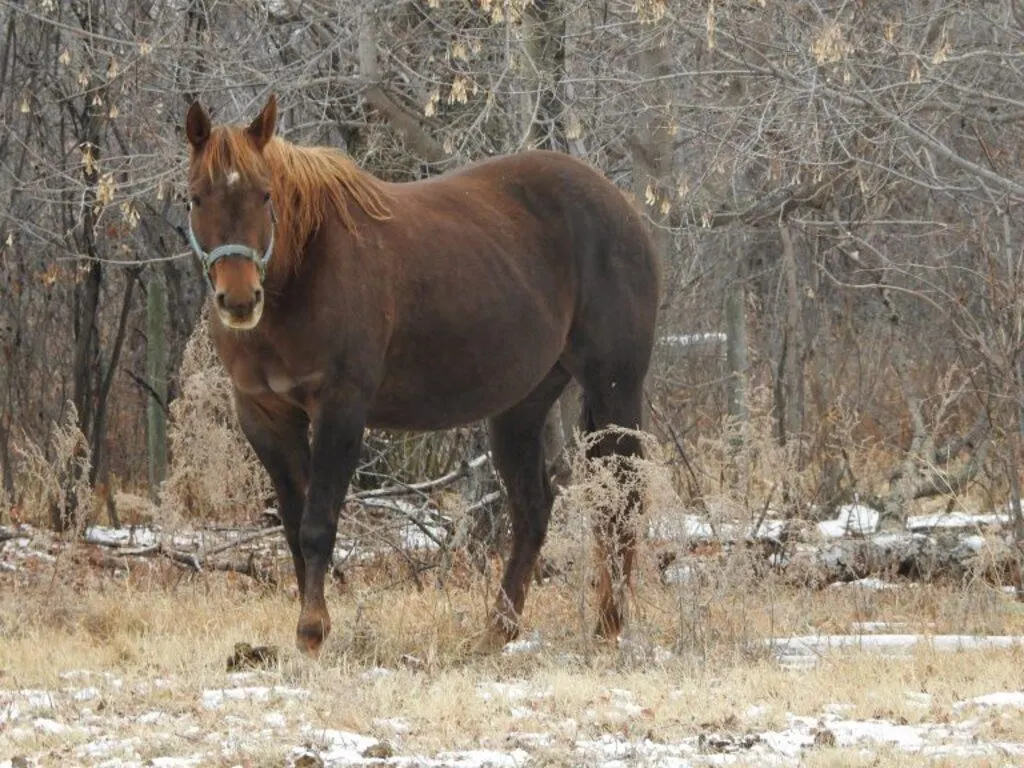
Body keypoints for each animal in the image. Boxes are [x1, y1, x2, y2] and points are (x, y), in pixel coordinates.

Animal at [183, 94, 661, 656]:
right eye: (195, 198)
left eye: (264, 195)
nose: (239, 300)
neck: (305, 269)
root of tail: (620, 205)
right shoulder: (266, 417)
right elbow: (294, 526)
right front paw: (309, 628)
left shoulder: (341, 410)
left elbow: (317, 526)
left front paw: (313, 631)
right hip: (520, 407)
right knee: (533, 509)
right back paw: (498, 629)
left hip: (614, 388)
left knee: (622, 501)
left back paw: (608, 624)